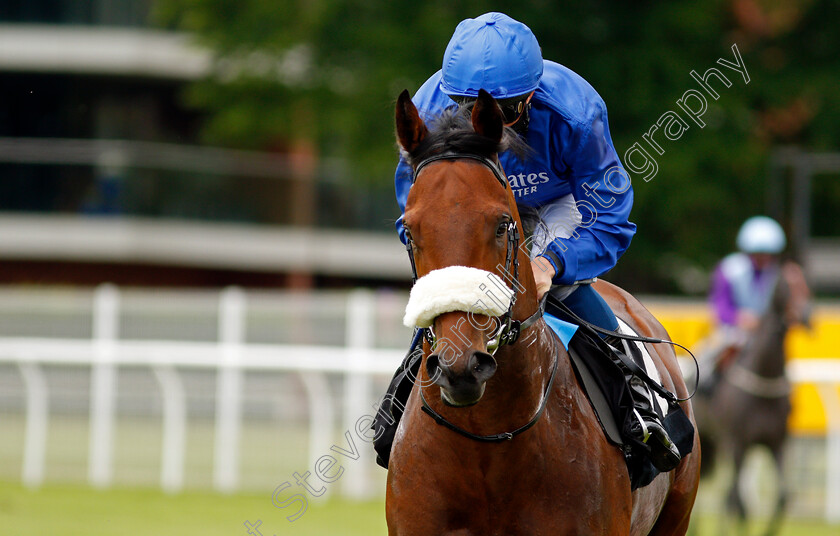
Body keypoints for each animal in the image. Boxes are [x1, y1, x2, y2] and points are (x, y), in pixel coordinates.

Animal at [704, 262, 812, 532]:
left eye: (807, 282)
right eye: (786, 285)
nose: (807, 314)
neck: (764, 375)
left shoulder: (777, 443)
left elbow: (783, 496)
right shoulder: (736, 443)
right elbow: (735, 500)